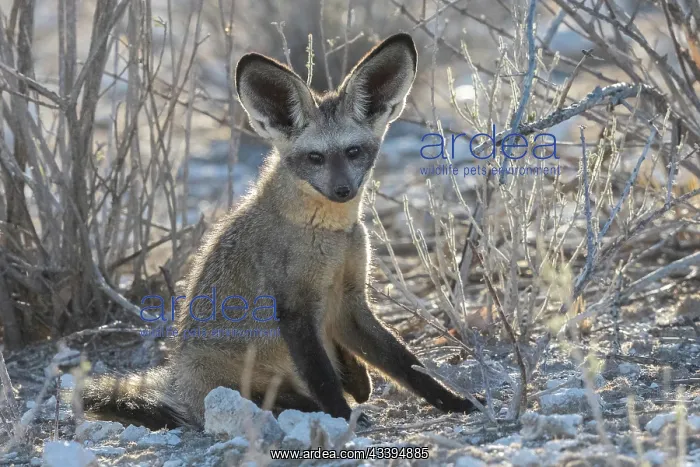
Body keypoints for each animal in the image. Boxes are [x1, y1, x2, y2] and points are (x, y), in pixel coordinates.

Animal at [82, 33, 483, 430]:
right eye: (315, 158)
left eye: (353, 152)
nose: (343, 190)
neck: (328, 238)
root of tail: (180, 385)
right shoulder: (294, 308)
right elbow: (323, 378)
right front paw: (342, 418)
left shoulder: (349, 301)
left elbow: (407, 364)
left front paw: (454, 400)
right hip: (241, 380)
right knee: (279, 398)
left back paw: (356, 382)